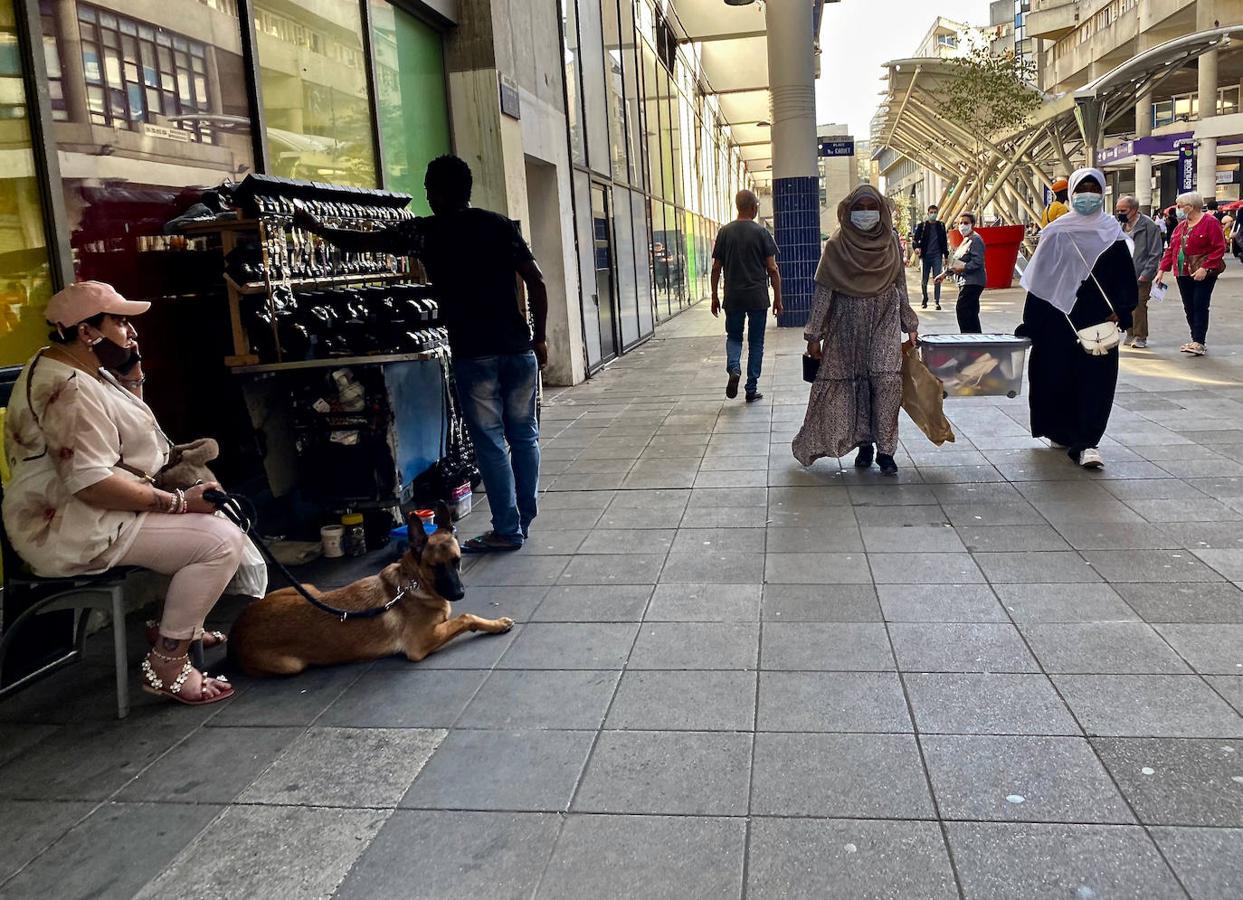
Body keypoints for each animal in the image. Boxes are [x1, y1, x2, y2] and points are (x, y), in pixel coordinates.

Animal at [229, 499, 514, 676]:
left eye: (457, 561)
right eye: (435, 567)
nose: (459, 593)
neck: (413, 583)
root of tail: (235, 631)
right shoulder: (421, 643)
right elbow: (466, 617)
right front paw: (496, 624)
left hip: (307, 587)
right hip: (291, 665)